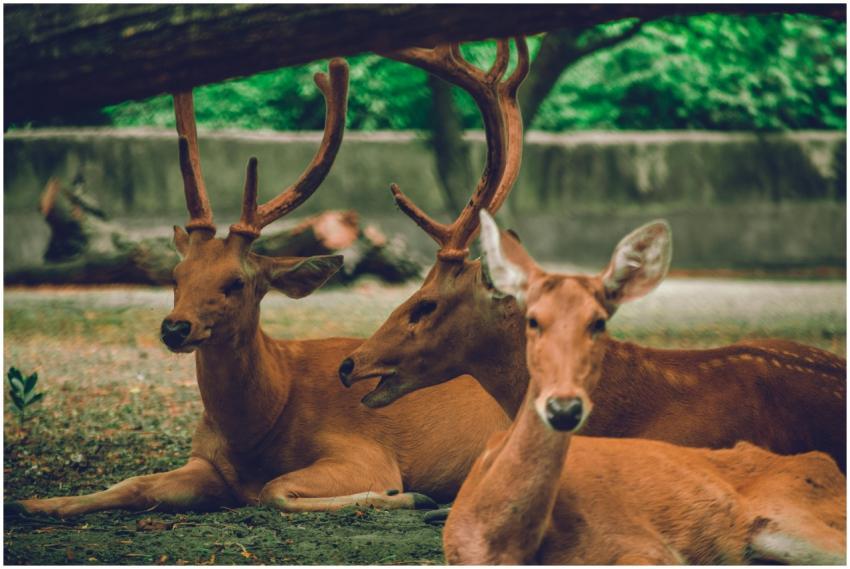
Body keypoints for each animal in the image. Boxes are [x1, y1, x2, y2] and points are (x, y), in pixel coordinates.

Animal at [10, 58, 512, 519]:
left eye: (236, 281)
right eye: (176, 276)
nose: (175, 328)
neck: (260, 428)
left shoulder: (365, 451)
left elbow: (275, 490)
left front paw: (408, 495)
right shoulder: (206, 461)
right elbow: (133, 484)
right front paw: (28, 503)